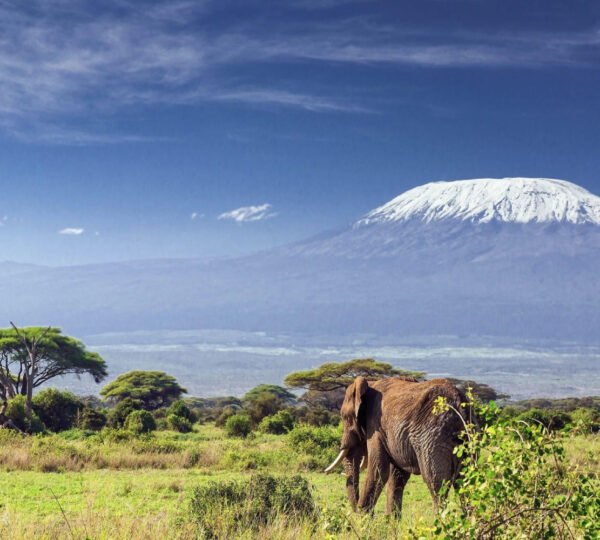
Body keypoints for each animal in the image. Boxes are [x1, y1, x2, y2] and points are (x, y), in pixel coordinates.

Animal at [324, 376, 468, 516]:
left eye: (345, 417)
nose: (355, 510)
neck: (371, 384)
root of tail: (459, 406)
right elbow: (397, 476)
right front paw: (390, 522)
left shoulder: (375, 427)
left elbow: (379, 470)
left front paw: (363, 517)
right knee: (465, 482)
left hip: (432, 438)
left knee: (436, 484)